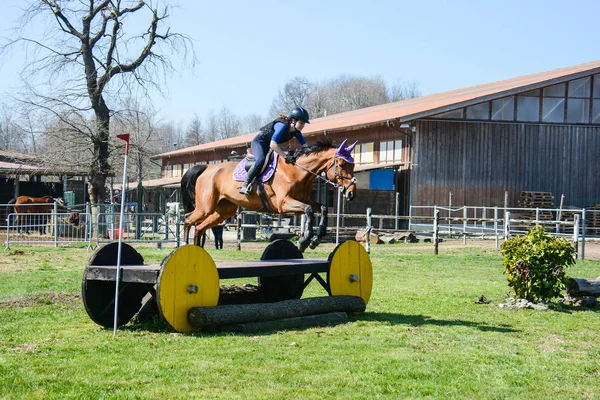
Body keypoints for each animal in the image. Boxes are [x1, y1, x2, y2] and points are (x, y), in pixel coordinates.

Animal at [180, 136, 358, 252]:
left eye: (353, 164)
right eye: (342, 165)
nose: (351, 193)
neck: (296, 170)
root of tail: (206, 168)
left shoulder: (302, 200)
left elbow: (322, 208)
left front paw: (316, 239)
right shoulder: (283, 204)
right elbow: (308, 210)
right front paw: (304, 240)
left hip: (223, 210)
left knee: (200, 227)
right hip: (206, 207)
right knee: (188, 219)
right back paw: (183, 247)